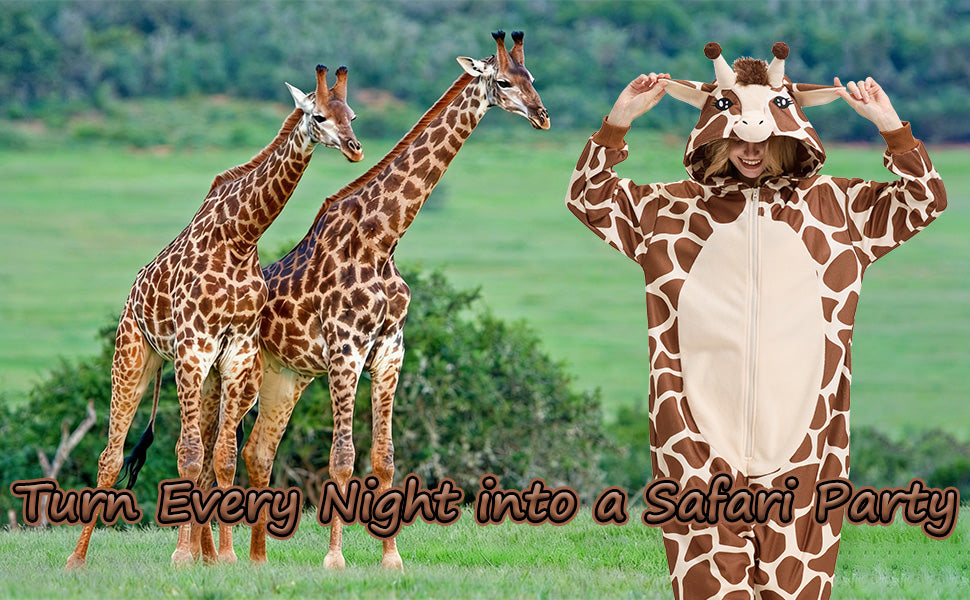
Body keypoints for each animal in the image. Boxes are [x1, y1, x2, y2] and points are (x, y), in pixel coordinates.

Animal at [65, 65, 363, 570]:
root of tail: (131, 298)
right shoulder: (193, 347)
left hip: (197, 373)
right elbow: (187, 454)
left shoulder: (237, 351)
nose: (354, 147)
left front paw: (225, 559)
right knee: (111, 455)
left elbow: (222, 456)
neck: (240, 238)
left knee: (198, 452)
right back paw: (76, 560)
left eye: (352, 115)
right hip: (134, 355)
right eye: (319, 116)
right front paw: (187, 559)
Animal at [233, 30, 549, 570]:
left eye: (532, 77)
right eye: (505, 82)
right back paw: (220, 555)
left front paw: (391, 558)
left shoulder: (389, 350)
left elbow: (384, 459)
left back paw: (256, 560)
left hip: (286, 376)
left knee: (257, 452)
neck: (382, 239)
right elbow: (342, 458)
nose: (542, 115)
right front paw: (335, 561)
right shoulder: (345, 349)